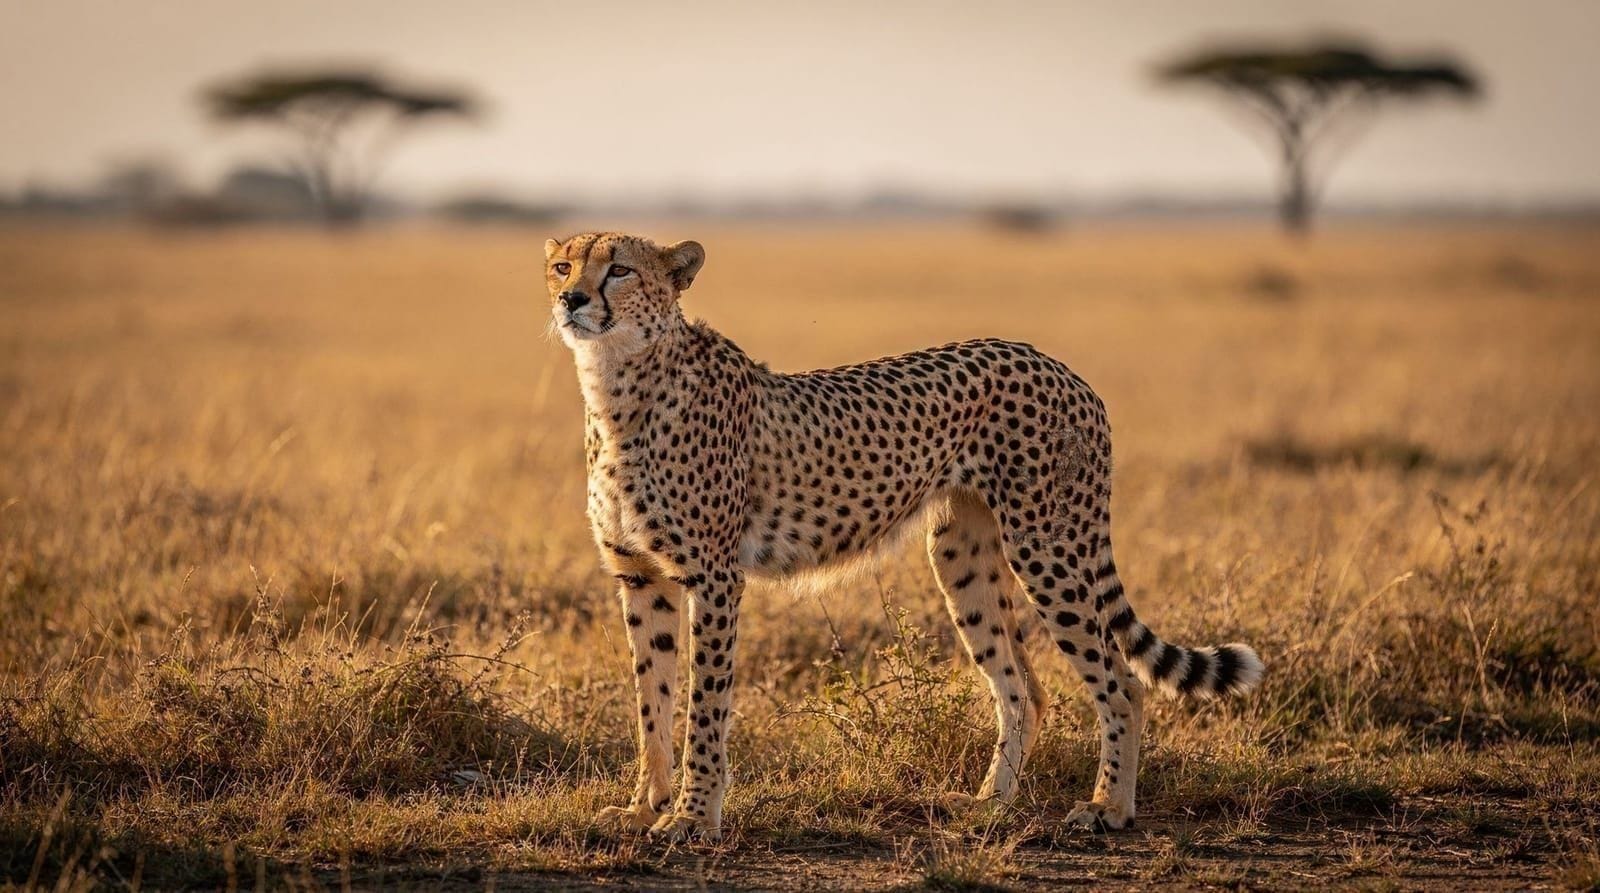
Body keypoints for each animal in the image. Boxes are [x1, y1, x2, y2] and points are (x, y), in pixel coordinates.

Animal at [543, 231, 1264, 843]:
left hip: (1048, 545)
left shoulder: (714, 577)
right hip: (962, 556)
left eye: (619, 268)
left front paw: (694, 818)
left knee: (1121, 681)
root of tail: (1056, 364)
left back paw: (1109, 807)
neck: (619, 386)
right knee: (1023, 689)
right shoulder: (641, 576)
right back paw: (990, 802)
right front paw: (644, 807)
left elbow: (703, 704)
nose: (571, 300)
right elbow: (652, 701)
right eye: (563, 265)